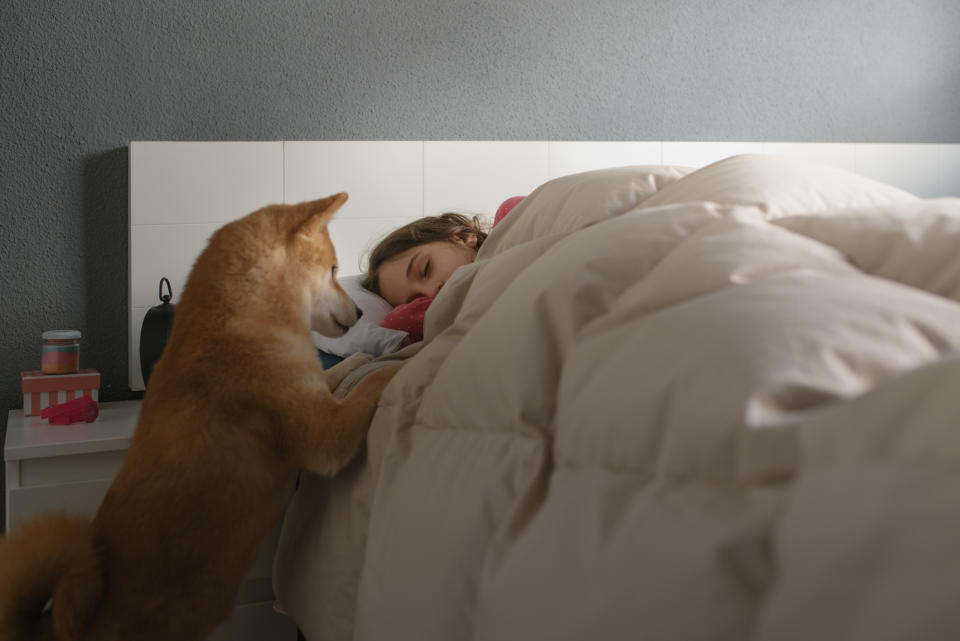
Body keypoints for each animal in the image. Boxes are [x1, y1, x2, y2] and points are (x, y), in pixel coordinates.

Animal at [0, 192, 402, 636]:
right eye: (332, 270)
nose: (362, 314)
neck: (242, 319)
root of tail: (54, 626)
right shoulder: (324, 437)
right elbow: (369, 387)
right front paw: (404, 364)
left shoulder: (314, 390)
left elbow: (341, 373)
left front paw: (365, 357)